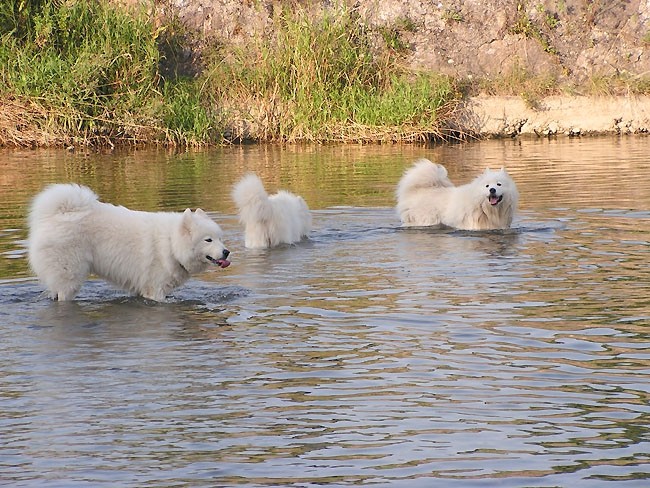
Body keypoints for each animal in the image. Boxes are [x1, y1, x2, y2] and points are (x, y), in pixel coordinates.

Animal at [27, 183, 230, 302]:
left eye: (220, 239)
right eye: (208, 240)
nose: (227, 252)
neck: (171, 244)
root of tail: (56, 215)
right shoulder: (155, 290)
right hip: (70, 276)